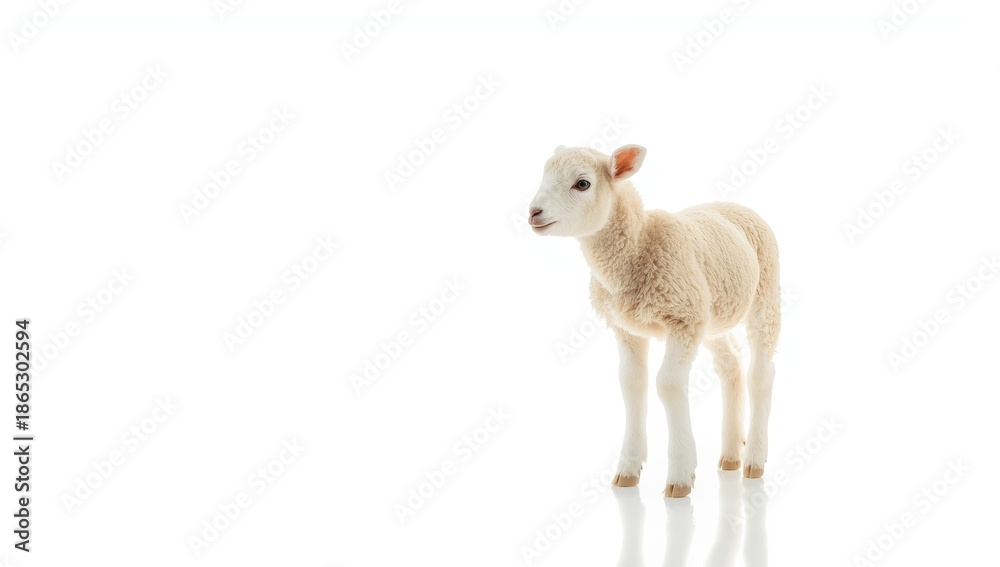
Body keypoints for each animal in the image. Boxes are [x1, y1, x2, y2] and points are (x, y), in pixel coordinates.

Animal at [528, 144, 780, 497]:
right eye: (544, 174)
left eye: (582, 184)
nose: (533, 213)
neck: (640, 243)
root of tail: (736, 205)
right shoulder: (626, 328)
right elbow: (632, 384)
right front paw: (628, 471)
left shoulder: (682, 320)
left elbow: (668, 384)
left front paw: (680, 476)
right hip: (712, 315)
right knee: (730, 365)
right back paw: (731, 456)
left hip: (765, 296)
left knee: (761, 374)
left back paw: (754, 461)